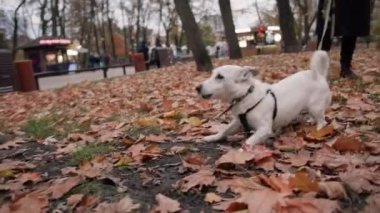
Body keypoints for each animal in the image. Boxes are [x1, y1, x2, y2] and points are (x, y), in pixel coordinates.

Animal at [197, 50, 332, 150]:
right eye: (212, 74)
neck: (246, 95)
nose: (197, 88)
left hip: (316, 107)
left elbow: (248, 141)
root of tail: (319, 75)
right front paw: (212, 137)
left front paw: (239, 152)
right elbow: (225, 131)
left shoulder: (264, 129)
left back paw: (318, 130)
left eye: (220, 77)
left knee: (322, 121)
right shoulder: (237, 123)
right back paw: (311, 120)